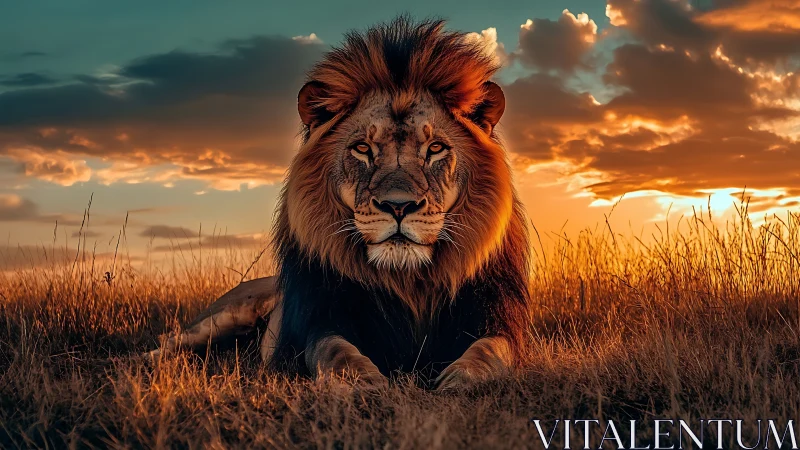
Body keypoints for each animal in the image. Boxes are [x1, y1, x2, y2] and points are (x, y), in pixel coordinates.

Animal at [148, 17, 532, 391]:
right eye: (362, 149)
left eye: (435, 148)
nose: (398, 206)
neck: (407, 282)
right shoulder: (322, 321)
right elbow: (334, 349)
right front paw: (361, 381)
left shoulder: (496, 320)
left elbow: (492, 350)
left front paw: (462, 378)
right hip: (227, 315)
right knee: (171, 340)